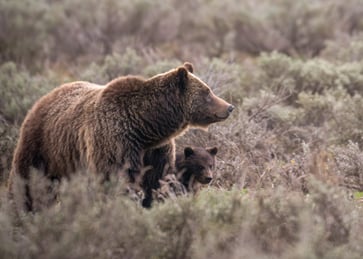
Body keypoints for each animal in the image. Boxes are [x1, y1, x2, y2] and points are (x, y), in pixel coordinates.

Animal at [9, 62, 236, 211]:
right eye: (207, 92)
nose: (229, 107)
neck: (146, 127)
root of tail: (46, 96)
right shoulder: (115, 143)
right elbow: (116, 180)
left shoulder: (156, 151)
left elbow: (156, 181)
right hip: (42, 145)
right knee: (28, 181)